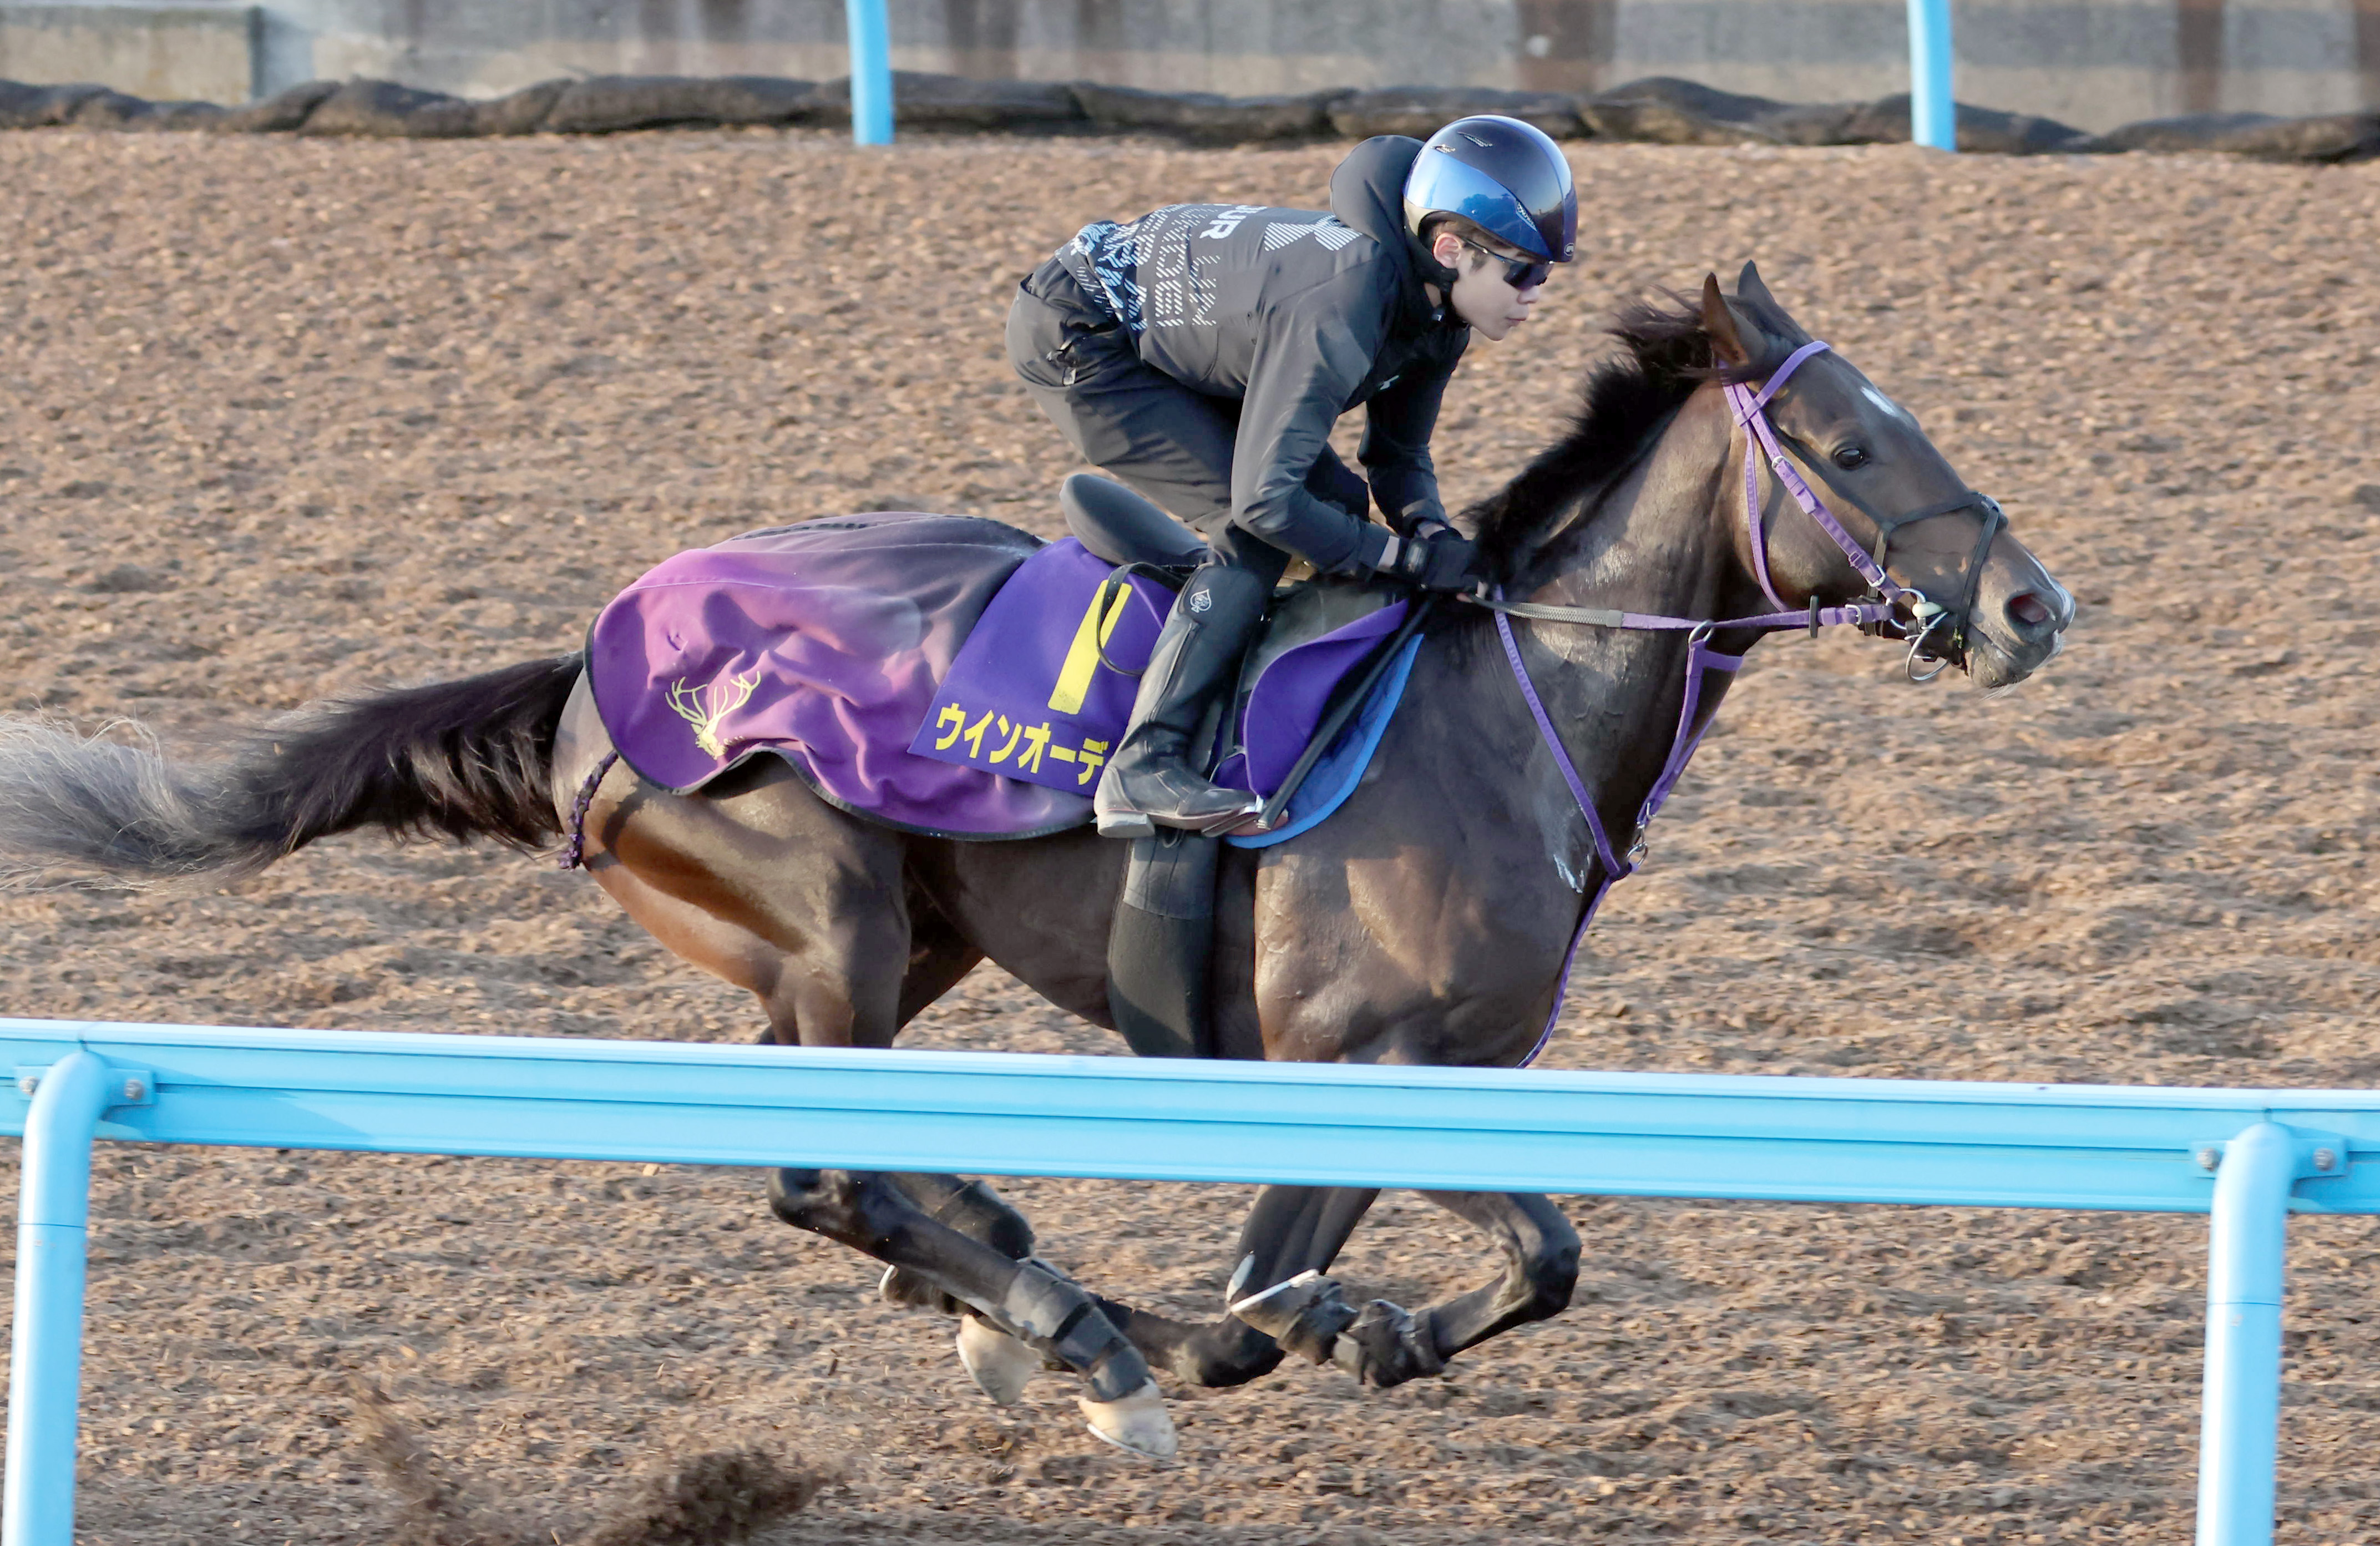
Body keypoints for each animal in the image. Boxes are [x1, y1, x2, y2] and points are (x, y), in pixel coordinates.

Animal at [0, 267, 2065, 1458]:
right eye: (1843, 443)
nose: (2031, 605)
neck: (1499, 711)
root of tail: (594, 665)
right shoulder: (1342, 1062)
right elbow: (1282, 1298)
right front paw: (1213, 1335)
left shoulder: (1439, 1075)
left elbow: (1524, 1257)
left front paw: (1373, 1332)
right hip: (825, 912)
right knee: (820, 1171)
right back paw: (1056, 1316)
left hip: (889, 947)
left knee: (839, 1160)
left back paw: (1010, 1277)